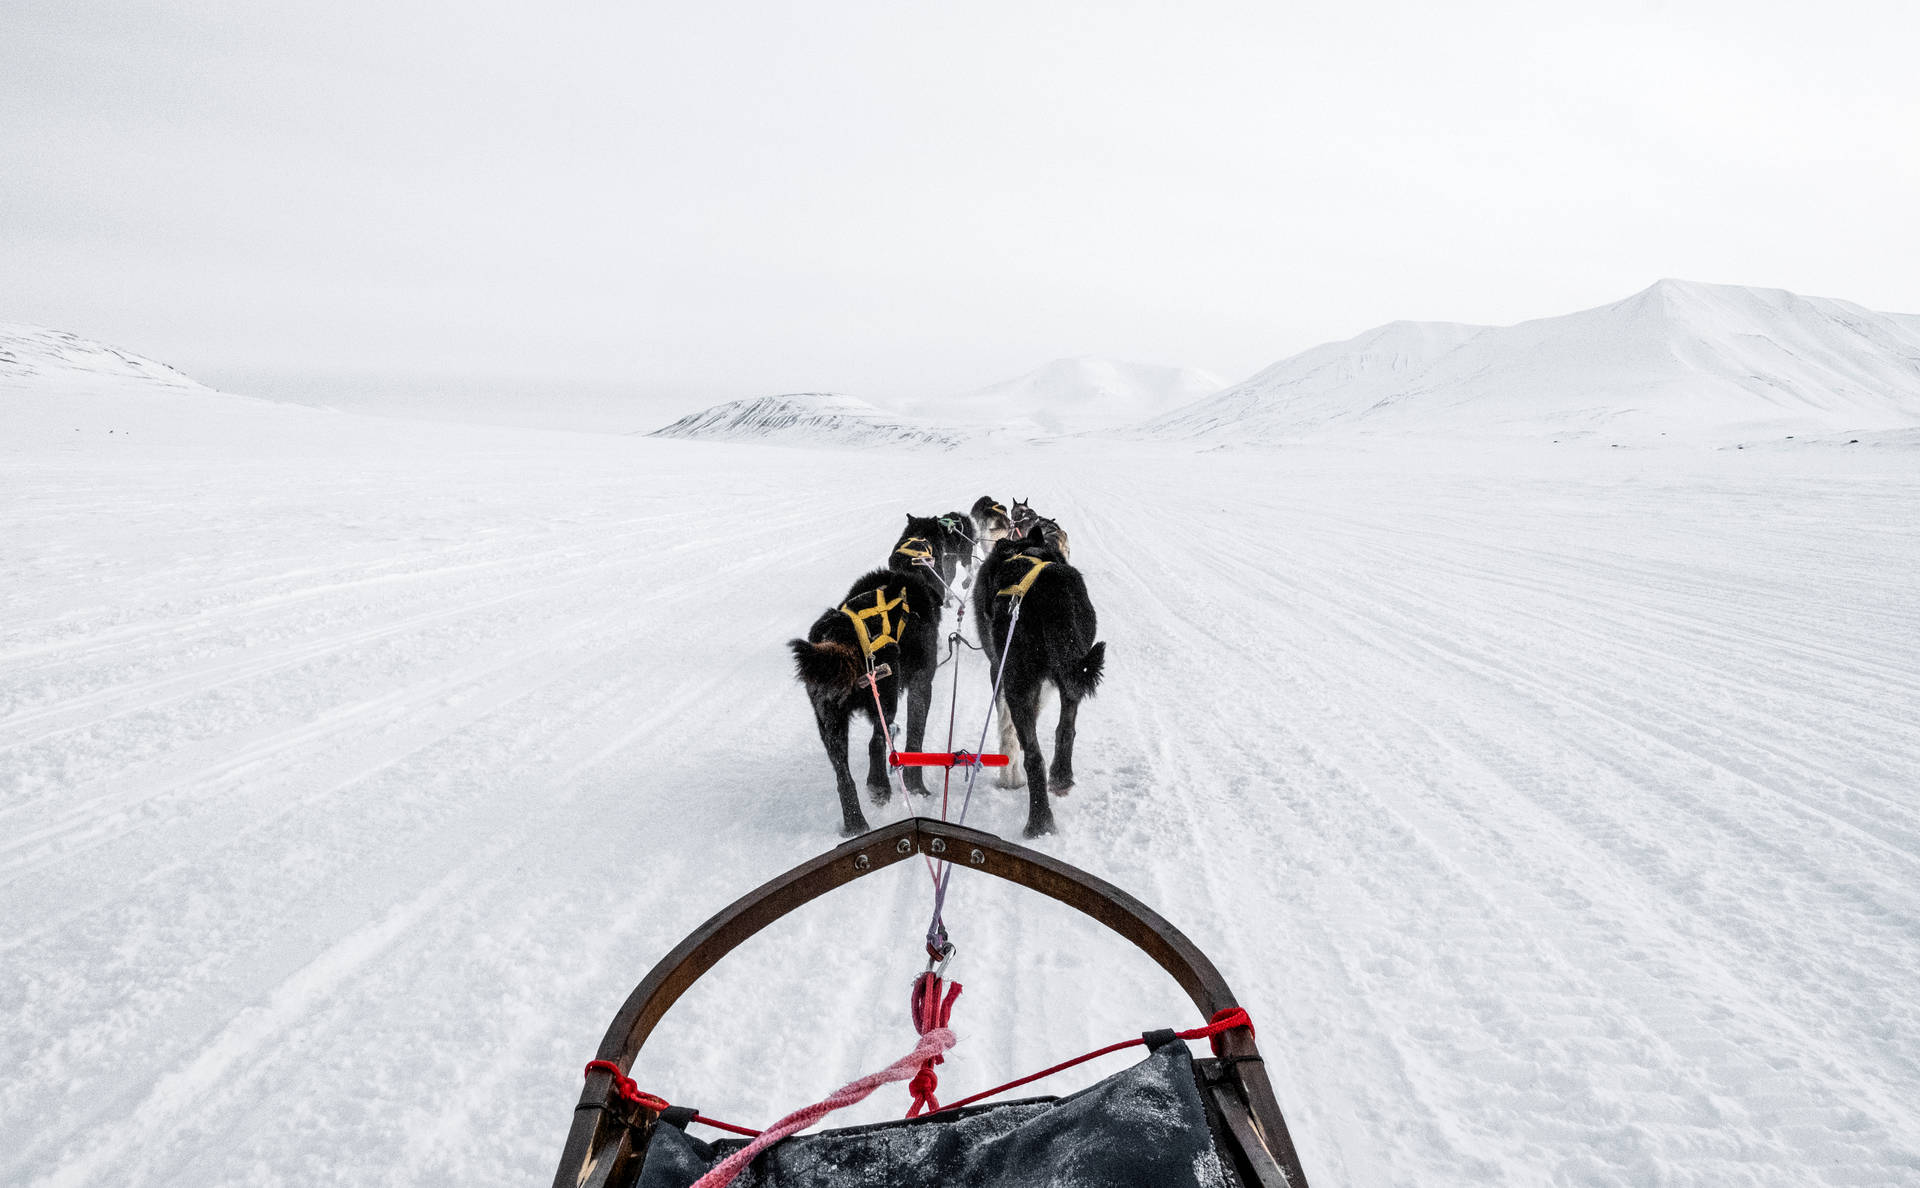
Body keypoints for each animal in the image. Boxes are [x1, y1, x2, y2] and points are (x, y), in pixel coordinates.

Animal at [791, 568, 940, 836]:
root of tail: (841, 635)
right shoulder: (922, 683)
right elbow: (916, 737)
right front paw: (917, 788)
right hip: (885, 695)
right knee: (877, 741)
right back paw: (879, 787)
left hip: (829, 721)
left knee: (843, 776)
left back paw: (855, 823)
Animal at [975, 525, 1113, 840]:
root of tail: (1052, 590)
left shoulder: (998, 671)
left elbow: (1008, 733)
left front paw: (1008, 777)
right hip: (1073, 668)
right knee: (1066, 729)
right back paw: (1061, 777)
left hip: (1017, 680)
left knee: (1033, 756)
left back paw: (1039, 822)